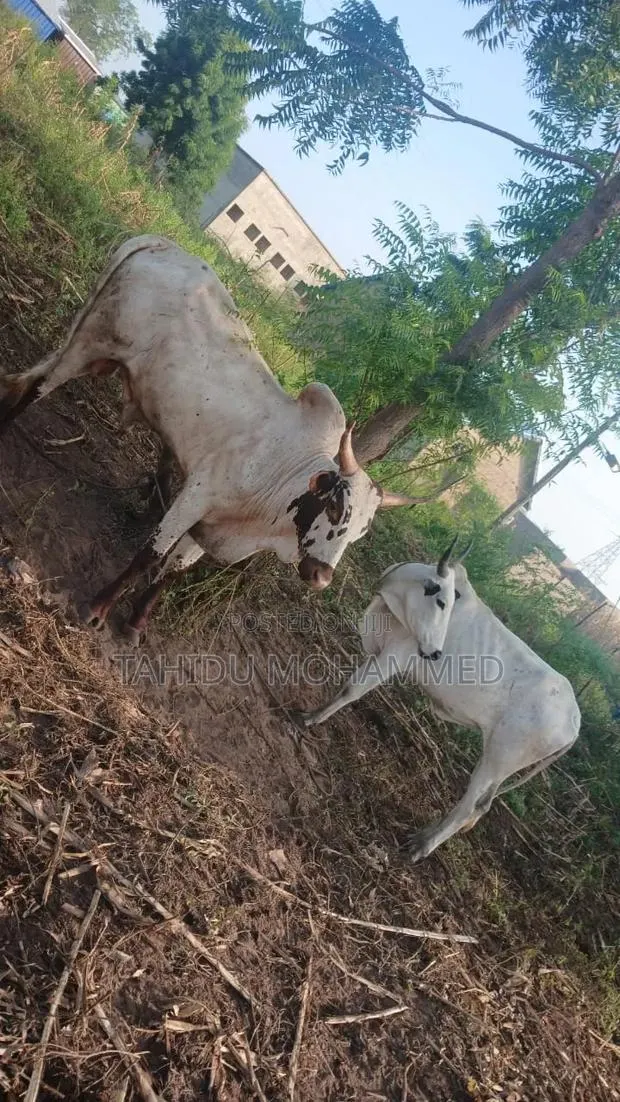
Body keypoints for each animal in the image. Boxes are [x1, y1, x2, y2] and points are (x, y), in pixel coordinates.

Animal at [0, 235, 437, 643]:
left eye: (362, 531)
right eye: (335, 507)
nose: (321, 577)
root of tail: (164, 245)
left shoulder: (208, 527)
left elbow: (172, 571)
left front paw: (137, 623)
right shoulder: (197, 496)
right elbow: (149, 555)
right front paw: (97, 609)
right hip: (89, 345)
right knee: (37, 386)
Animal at [295, 546, 581, 862]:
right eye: (442, 601)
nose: (434, 653)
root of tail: (574, 721)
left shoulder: (395, 656)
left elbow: (352, 690)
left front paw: (311, 718)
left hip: (498, 759)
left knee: (469, 807)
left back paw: (422, 847)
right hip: (497, 762)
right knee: (482, 804)